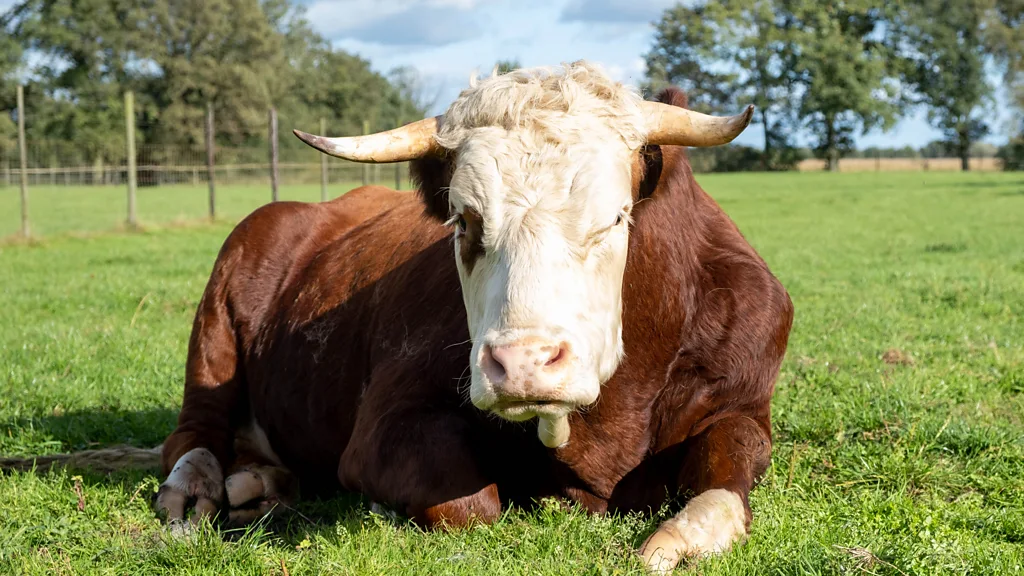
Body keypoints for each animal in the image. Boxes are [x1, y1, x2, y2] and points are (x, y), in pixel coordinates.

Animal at [148, 63, 790, 569]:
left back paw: (260, 481)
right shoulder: (385, 425)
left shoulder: (742, 402)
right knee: (193, 434)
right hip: (215, 328)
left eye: (615, 217)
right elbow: (469, 502)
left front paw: (678, 538)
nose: (524, 364)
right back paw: (194, 488)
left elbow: (728, 469)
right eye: (463, 221)